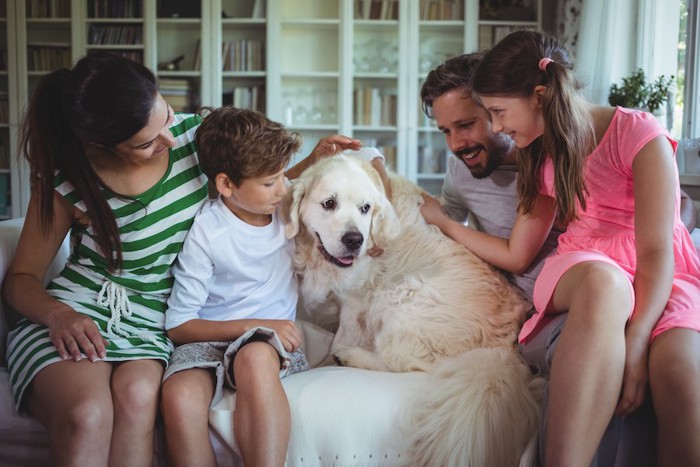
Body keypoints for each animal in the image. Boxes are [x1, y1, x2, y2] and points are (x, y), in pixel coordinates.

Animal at [282, 156, 544, 467]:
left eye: (365, 208)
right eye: (329, 203)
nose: (355, 240)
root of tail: (504, 351)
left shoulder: (355, 300)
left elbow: (341, 335)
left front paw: (329, 356)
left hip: (399, 295)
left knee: (407, 364)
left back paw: (348, 357)